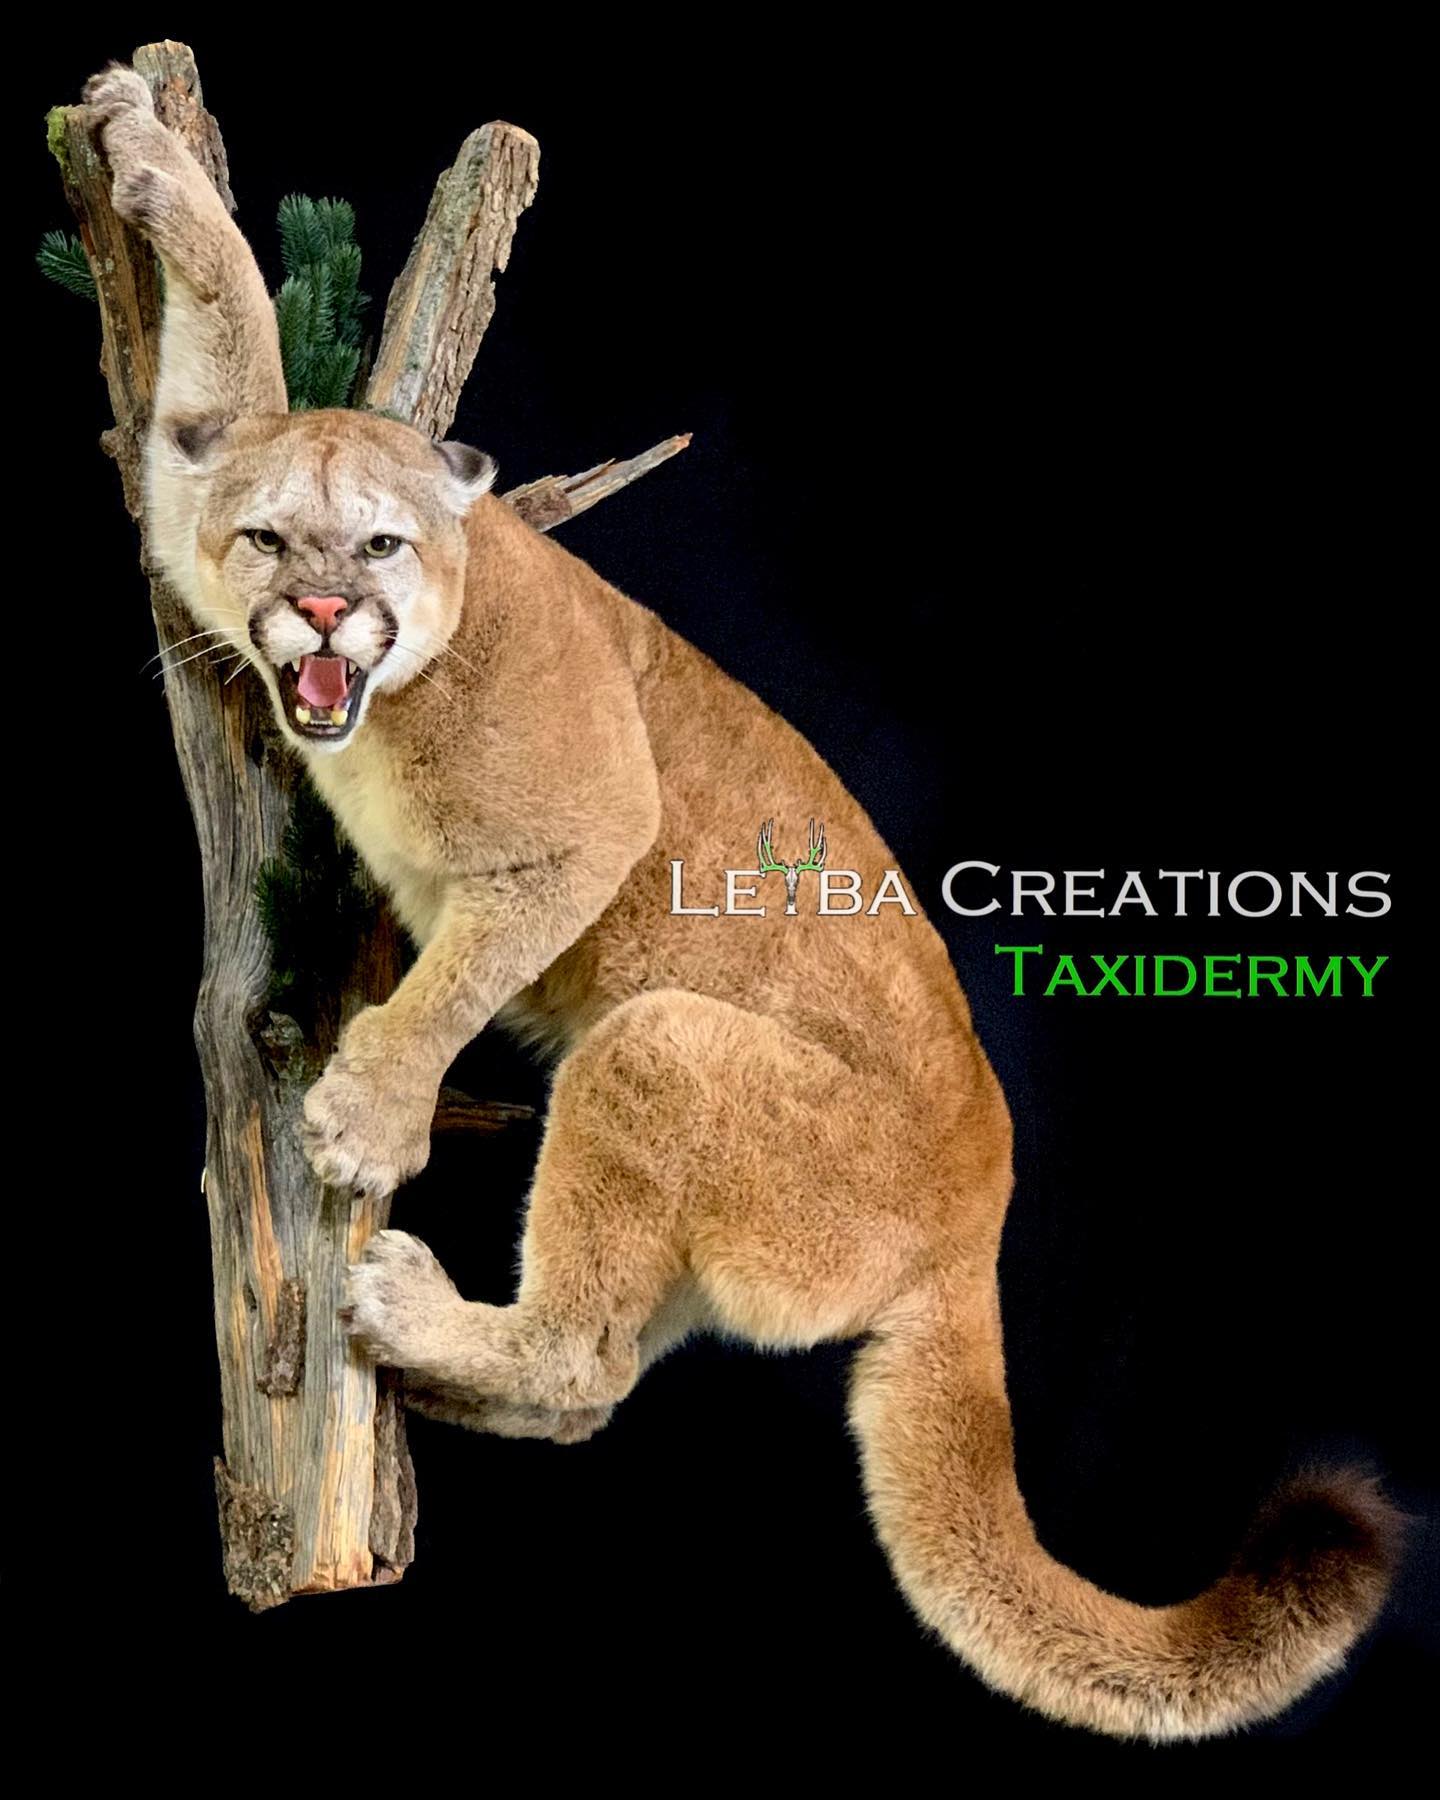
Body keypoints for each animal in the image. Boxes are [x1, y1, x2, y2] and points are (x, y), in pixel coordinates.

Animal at [81, 62, 1401, 1741]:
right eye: (271, 541)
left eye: (378, 542)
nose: (318, 610)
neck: (402, 682)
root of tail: (979, 1222)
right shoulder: (187, 507)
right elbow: (228, 362)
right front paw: (146, 153)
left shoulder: (588, 832)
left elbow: (452, 980)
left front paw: (369, 1119)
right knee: (599, 1387)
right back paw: (436, 1366)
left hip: (661, 1043)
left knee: (581, 1351)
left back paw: (418, 1317)